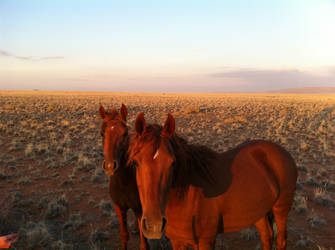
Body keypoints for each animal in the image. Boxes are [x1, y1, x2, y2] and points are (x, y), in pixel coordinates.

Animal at [98, 104, 148, 249]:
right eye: (102, 133)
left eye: (124, 134)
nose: (110, 166)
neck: (123, 182)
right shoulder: (119, 208)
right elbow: (124, 236)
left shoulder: (140, 209)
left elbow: (144, 244)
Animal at [129, 113, 300, 250]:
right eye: (136, 163)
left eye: (172, 163)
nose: (154, 225)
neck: (186, 198)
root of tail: (282, 151)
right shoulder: (177, 242)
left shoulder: (206, 241)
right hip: (259, 211)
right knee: (267, 237)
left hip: (281, 209)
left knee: (281, 240)